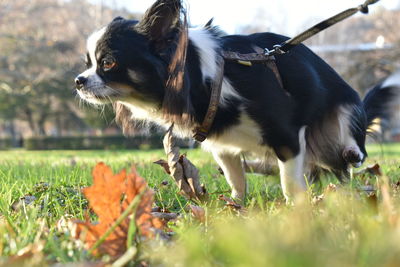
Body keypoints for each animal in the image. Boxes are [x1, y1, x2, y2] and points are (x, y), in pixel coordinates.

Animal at [74, 0, 396, 202]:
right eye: (88, 64)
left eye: (108, 63)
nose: (78, 81)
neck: (211, 78)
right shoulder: (223, 147)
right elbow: (236, 179)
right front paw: (236, 207)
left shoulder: (287, 138)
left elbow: (289, 183)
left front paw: (296, 212)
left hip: (344, 118)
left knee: (354, 151)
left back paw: (351, 150)